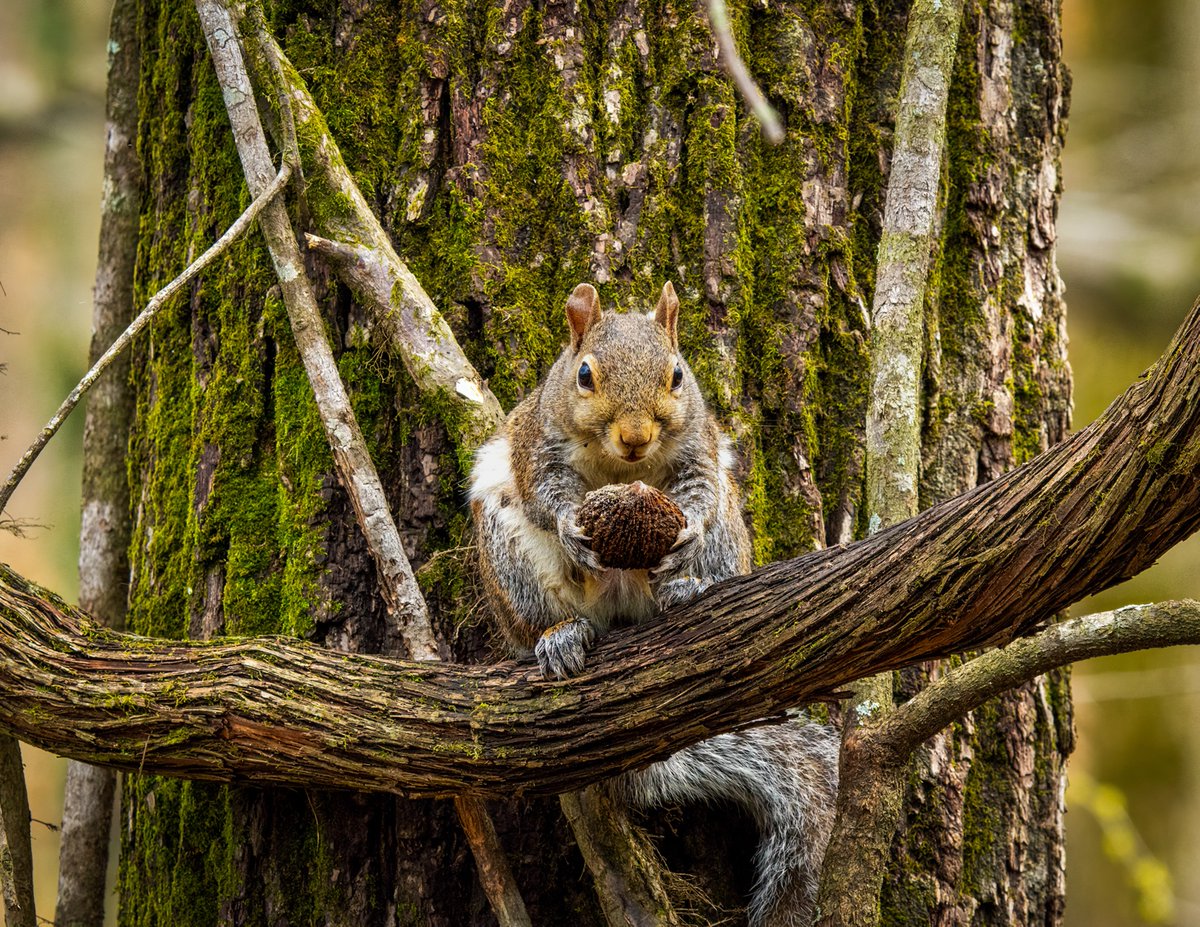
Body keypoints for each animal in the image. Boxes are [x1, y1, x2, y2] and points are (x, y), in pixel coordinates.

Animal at [469, 282, 839, 927]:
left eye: (677, 374)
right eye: (584, 375)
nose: (637, 436)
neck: (620, 465)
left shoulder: (700, 450)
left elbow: (698, 489)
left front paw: (683, 528)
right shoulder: (535, 446)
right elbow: (545, 493)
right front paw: (568, 526)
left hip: (725, 538)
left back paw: (684, 592)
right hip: (509, 560)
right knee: (544, 618)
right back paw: (559, 637)